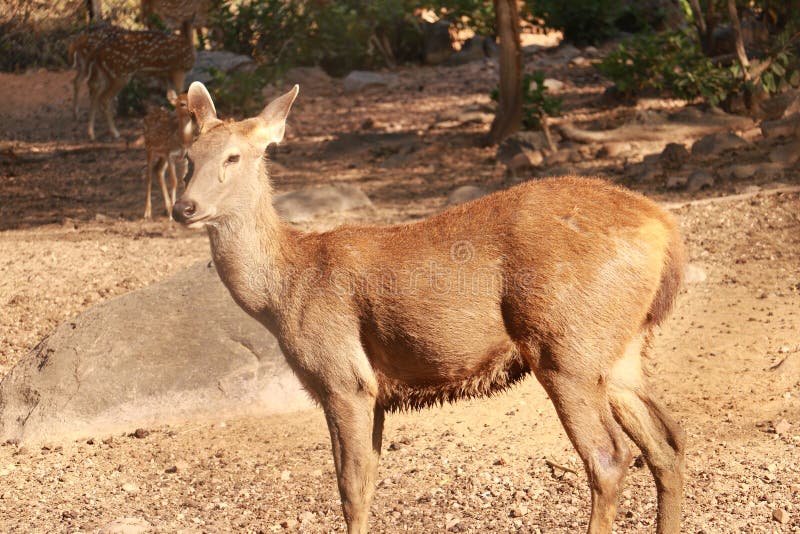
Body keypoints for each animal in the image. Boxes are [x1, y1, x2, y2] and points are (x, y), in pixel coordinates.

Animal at [142, 90, 194, 220]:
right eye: (182, 103)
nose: (192, 111)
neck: (181, 140)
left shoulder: (184, 157)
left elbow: (184, 180)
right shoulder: (170, 155)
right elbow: (174, 181)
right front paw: (172, 216)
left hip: (162, 155)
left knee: (158, 170)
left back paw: (167, 208)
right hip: (149, 148)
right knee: (148, 175)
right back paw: (147, 212)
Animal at [172, 82, 688, 534]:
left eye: (234, 156)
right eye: (187, 159)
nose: (184, 208)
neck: (283, 292)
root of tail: (665, 232)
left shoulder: (343, 378)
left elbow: (350, 490)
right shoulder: (374, 391)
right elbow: (369, 483)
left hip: (565, 345)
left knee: (609, 456)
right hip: (618, 351)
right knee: (667, 442)